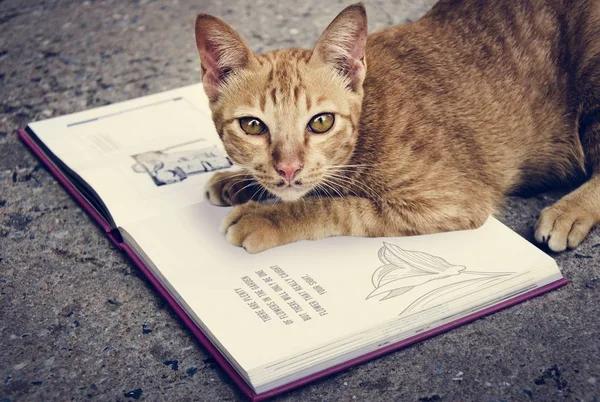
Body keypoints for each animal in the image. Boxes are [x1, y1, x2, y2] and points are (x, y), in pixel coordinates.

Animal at [196, 1, 600, 253]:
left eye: (321, 122)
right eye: (252, 126)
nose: (289, 168)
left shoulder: (450, 200)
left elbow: (339, 207)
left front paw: (269, 216)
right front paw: (238, 181)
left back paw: (568, 212)